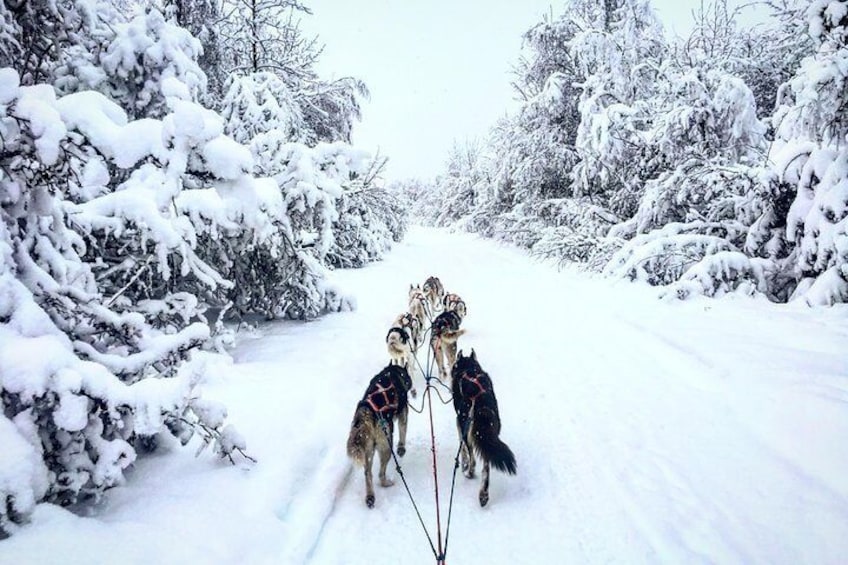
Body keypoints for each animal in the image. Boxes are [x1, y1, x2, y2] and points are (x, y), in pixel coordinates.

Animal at [344, 364, 410, 508]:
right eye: (407, 378)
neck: (392, 372)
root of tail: (366, 414)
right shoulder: (403, 413)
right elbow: (403, 432)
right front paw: (401, 448)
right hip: (386, 446)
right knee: (380, 474)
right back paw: (386, 483)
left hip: (368, 450)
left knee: (368, 473)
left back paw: (370, 496)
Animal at [450, 350, 516, 504]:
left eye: (455, 364)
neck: (468, 368)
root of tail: (481, 399)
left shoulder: (458, 423)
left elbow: (462, 449)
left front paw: (463, 463)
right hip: (488, 435)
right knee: (486, 465)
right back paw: (483, 494)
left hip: (468, 430)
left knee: (473, 458)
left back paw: (469, 472)